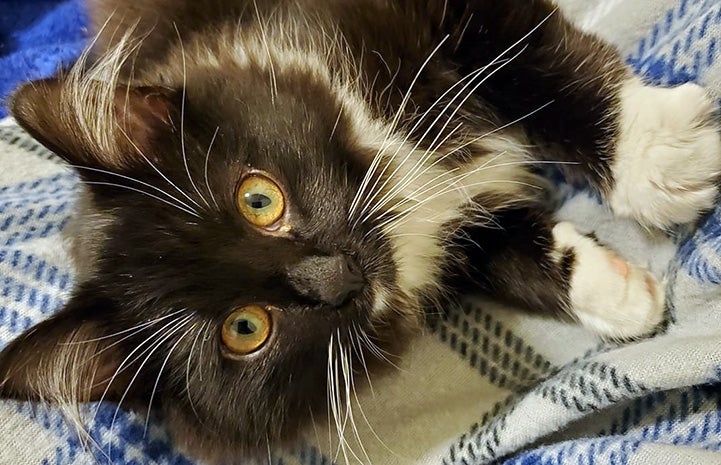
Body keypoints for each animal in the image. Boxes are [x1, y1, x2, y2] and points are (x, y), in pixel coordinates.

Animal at [1, 0, 720, 462]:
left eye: (258, 199)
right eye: (245, 329)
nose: (333, 276)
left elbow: (540, 68)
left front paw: (655, 155)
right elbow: (503, 251)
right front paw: (615, 292)